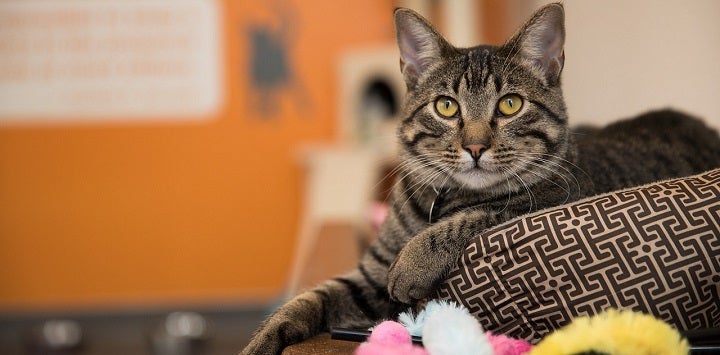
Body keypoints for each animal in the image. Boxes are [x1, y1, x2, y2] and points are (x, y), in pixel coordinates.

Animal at [242, 2, 720, 354]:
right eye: (446, 106)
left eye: (509, 105)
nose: (474, 146)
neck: (439, 201)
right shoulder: (368, 278)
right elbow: (306, 300)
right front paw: (260, 340)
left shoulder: (547, 200)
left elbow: (477, 214)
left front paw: (414, 260)